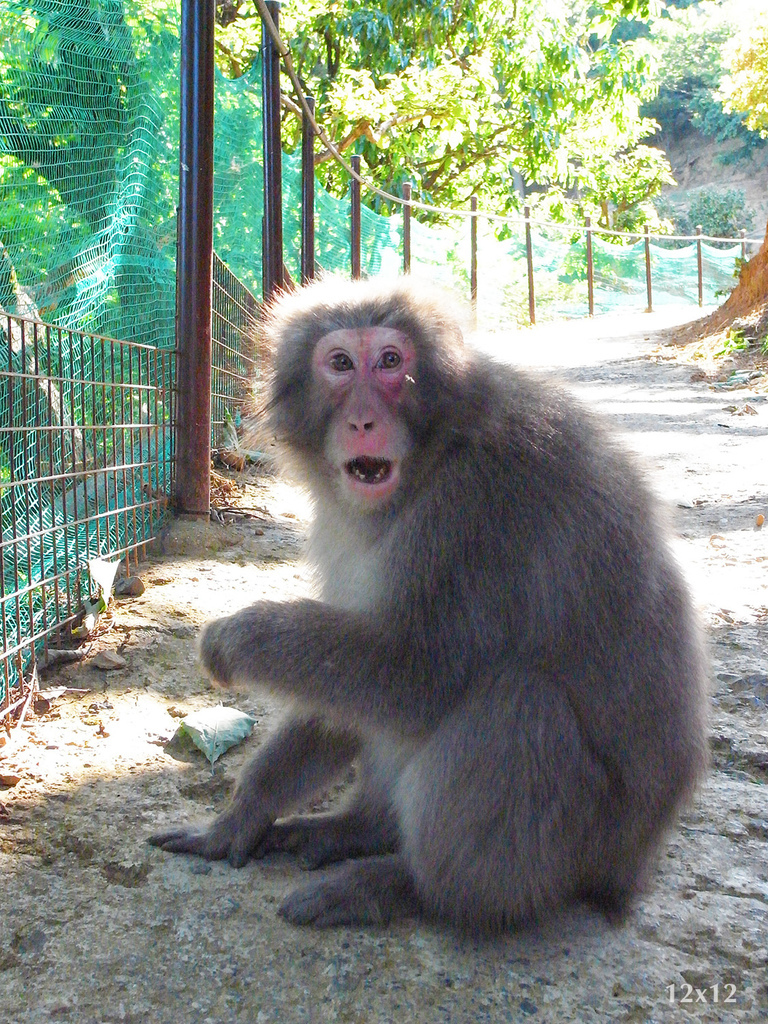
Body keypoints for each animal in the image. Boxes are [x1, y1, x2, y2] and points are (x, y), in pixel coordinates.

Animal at [150, 274, 708, 937]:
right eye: (341, 364)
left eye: (392, 362)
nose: (363, 420)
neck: (436, 452)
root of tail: (630, 870)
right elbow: (348, 690)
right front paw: (243, 813)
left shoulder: (474, 508)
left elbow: (418, 671)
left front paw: (240, 636)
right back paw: (359, 829)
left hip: (576, 850)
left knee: (514, 700)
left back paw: (412, 888)